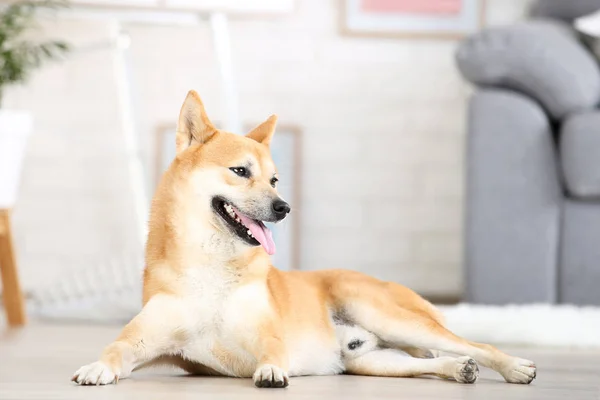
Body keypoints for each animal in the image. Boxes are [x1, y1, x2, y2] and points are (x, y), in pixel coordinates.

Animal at [72, 90, 536, 388]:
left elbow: (273, 350)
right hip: (372, 361)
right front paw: (97, 367)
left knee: (474, 344)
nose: (283, 208)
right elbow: (116, 349)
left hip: (388, 317)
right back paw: (458, 370)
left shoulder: (268, 334)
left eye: (275, 179)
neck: (214, 268)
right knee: (424, 362)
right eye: (240, 171)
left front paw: (272, 371)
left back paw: (513, 366)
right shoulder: (146, 338)